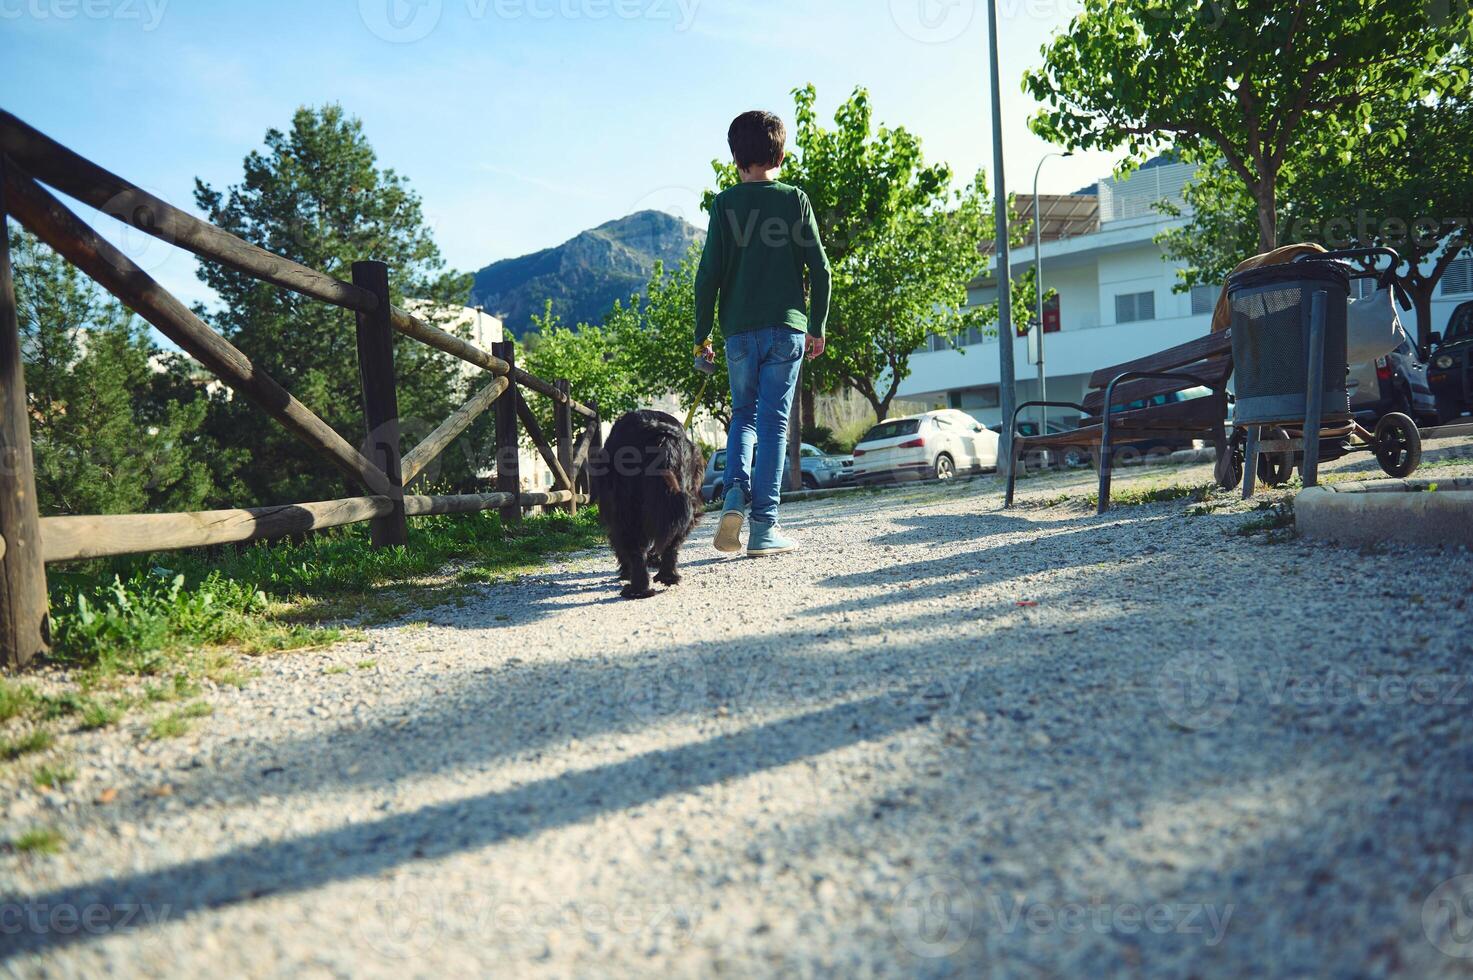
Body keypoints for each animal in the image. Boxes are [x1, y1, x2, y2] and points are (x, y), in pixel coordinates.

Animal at [586, 403, 701, 595]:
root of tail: (658, 432)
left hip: (625, 508)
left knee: (635, 548)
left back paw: (636, 588)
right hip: (683, 501)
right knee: (672, 542)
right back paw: (666, 577)